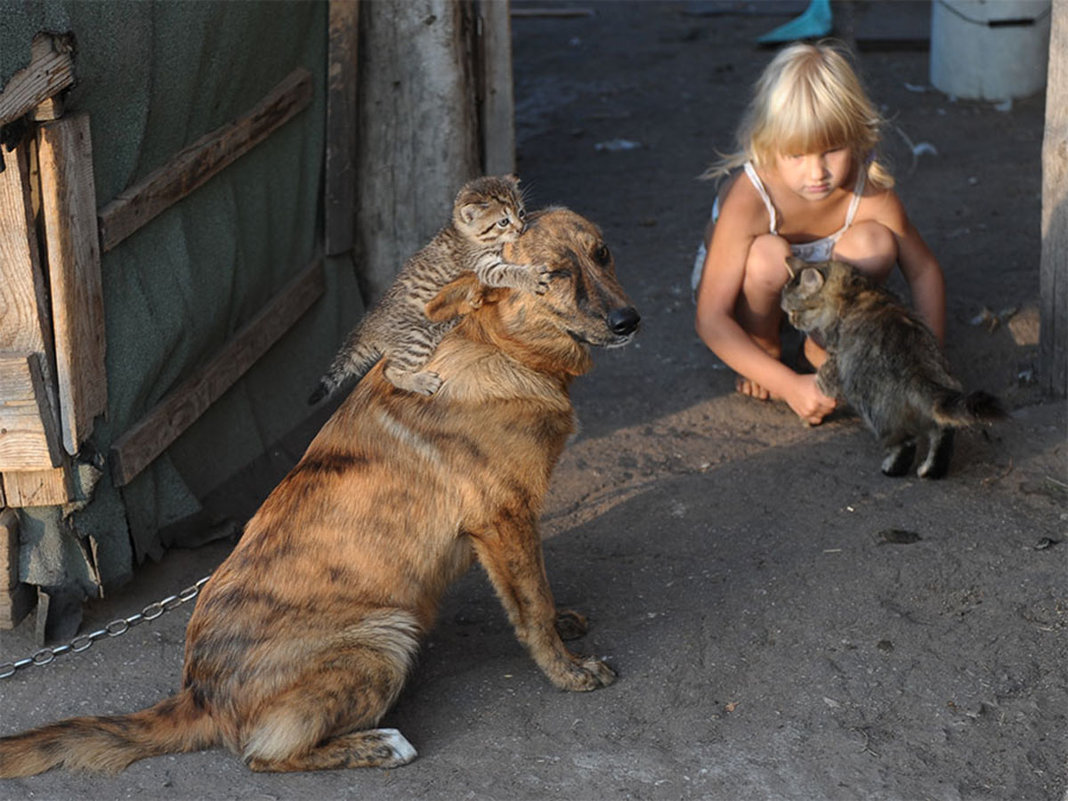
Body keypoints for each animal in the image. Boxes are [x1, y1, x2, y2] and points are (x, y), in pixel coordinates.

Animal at [0, 208, 632, 777]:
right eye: (553, 275)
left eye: (602, 254)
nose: (630, 321)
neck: (500, 348)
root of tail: (199, 695)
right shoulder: (503, 519)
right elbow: (532, 607)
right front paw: (569, 672)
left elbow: (540, 592)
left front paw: (565, 625)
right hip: (386, 637)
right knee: (263, 757)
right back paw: (378, 746)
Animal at [307, 174, 542, 401]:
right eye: (503, 221)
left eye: (521, 212)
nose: (521, 228)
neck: (465, 235)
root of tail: (368, 324)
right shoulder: (482, 266)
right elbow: (506, 272)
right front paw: (531, 278)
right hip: (417, 338)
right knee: (388, 370)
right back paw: (421, 382)